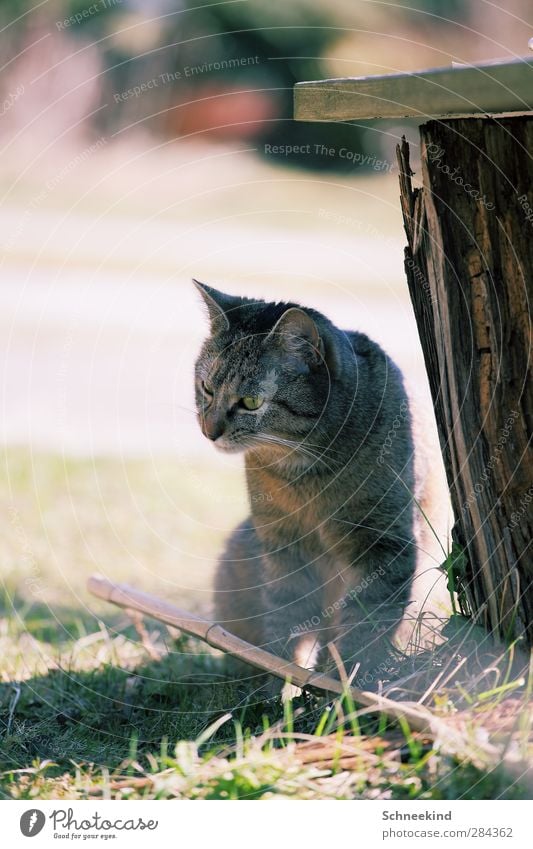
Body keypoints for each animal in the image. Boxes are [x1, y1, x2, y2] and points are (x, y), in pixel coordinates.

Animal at [192, 278, 448, 688]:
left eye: (251, 402)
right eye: (207, 388)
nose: (208, 431)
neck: (305, 469)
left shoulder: (383, 546)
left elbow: (364, 625)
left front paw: (349, 685)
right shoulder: (282, 544)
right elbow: (287, 618)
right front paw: (281, 683)